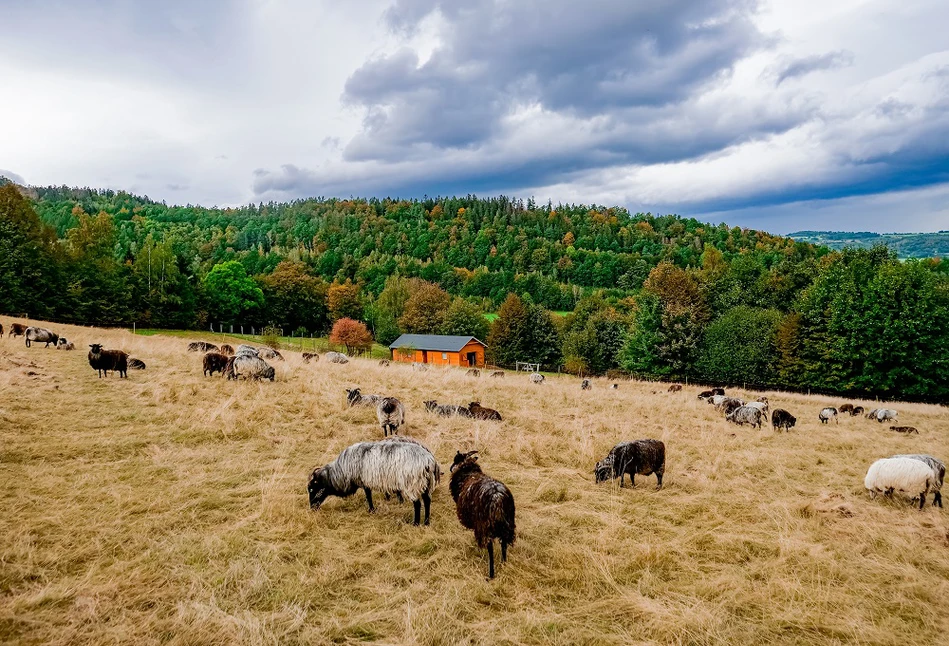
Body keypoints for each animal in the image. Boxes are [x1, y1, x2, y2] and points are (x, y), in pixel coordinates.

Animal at [312, 438, 444, 528]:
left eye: (313, 488)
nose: (312, 508)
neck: (341, 472)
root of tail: (429, 461)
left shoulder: (364, 480)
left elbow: (368, 495)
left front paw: (371, 510)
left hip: (412, 484)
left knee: (417, 504)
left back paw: (415, 523)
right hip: (426, 484)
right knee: (427, 501)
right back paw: (426, 522)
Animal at [448, 450, 516, 584]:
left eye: (456, 459)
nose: (450, 468)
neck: (468, 473)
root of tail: (497, 497)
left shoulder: (477, 525)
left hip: (485, 526)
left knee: (490, 548)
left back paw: (491, 574)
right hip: (508, 525)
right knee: (504, 544)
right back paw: (503, 564)